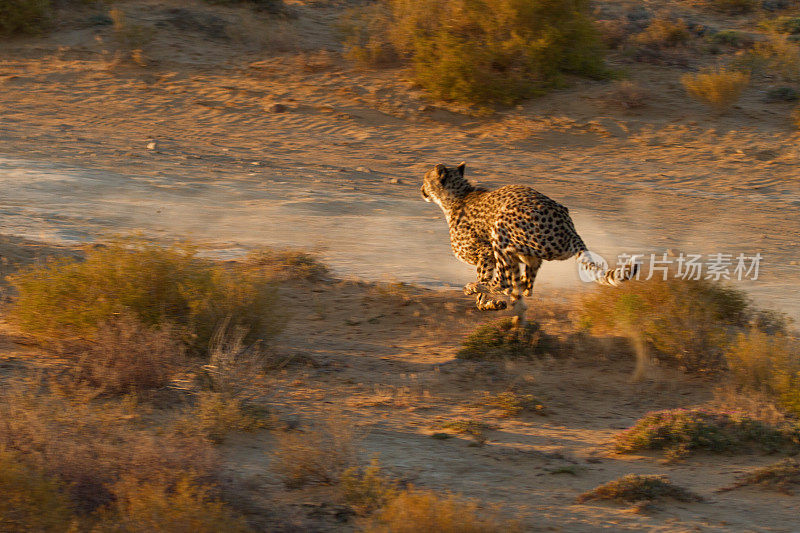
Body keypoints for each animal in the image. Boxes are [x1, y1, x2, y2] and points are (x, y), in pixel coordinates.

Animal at [418, 161, 636, 324]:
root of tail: (570, 228)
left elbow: (486, 280)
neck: (457, 196)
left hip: (501, 226)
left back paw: (474, 287)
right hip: (529, 253)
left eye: (425, 180)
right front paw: (494, 304)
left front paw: (483, 296)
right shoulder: (509, 258)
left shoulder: (486, 252)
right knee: (526, 286)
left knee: (505, 282)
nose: (421, 190)